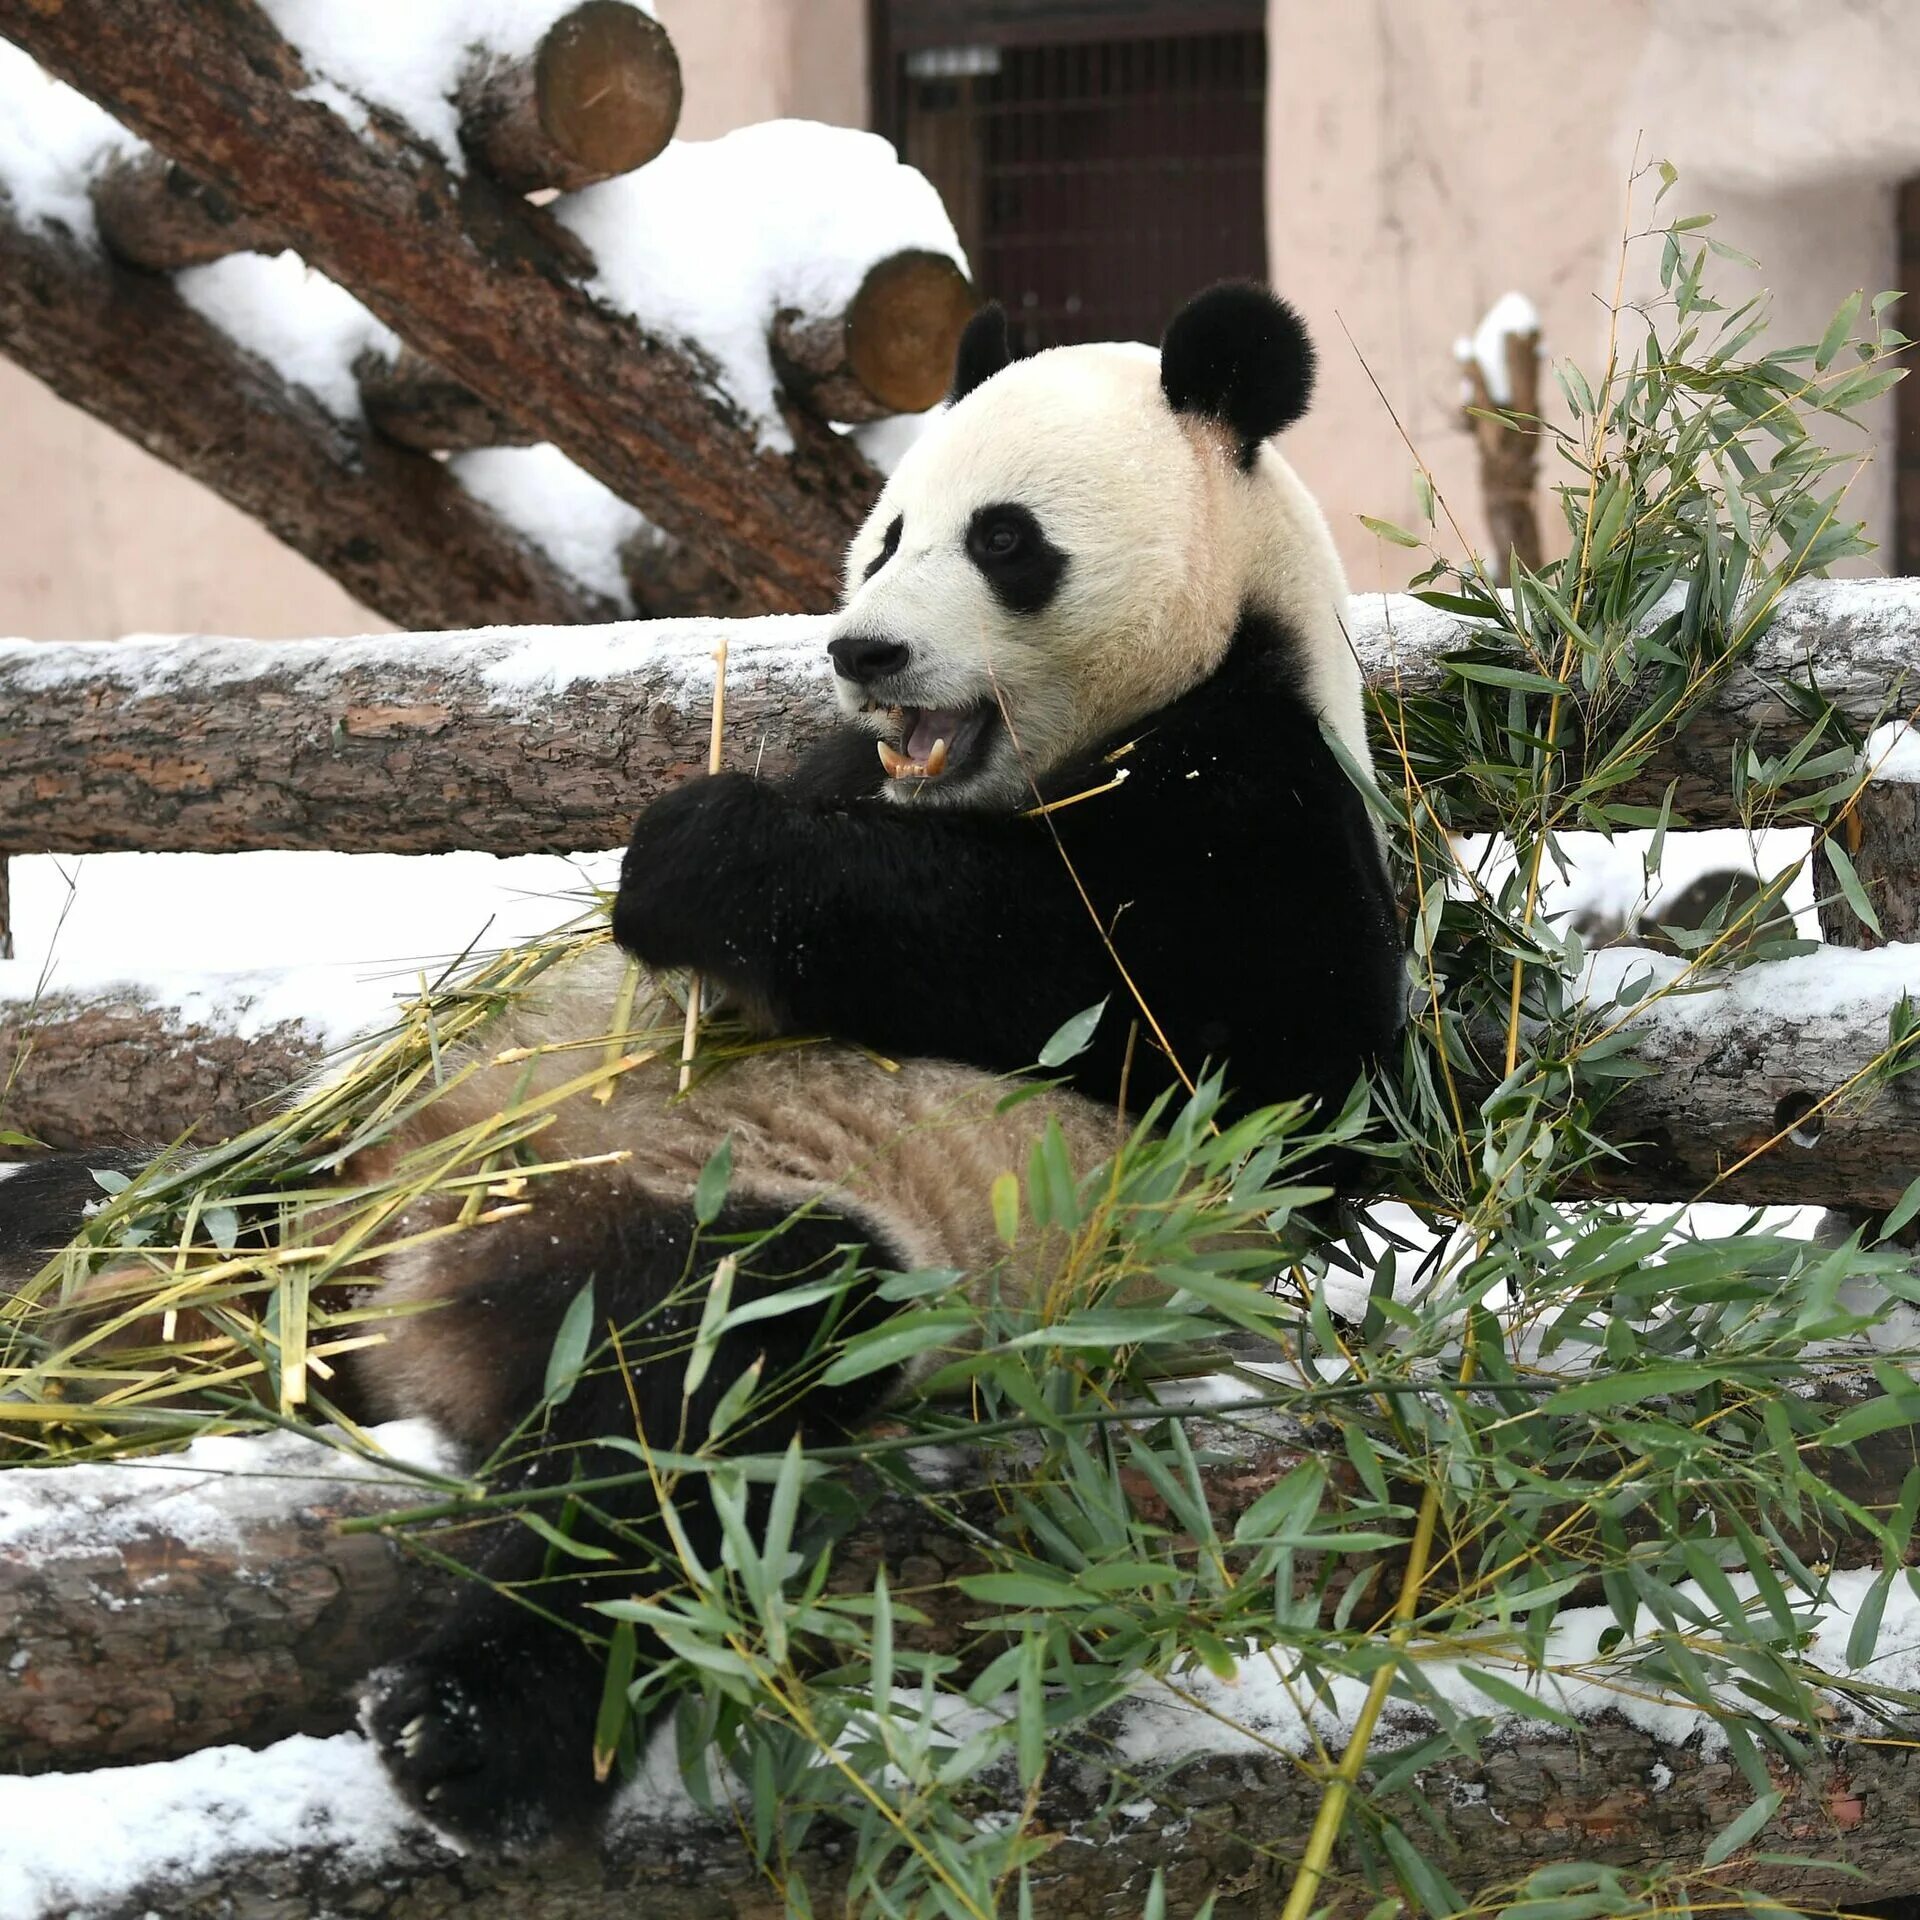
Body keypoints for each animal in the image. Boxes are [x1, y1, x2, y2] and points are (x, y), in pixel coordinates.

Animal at [7, 280, 1405, 1843]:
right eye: (886, 534)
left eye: (1004, 540)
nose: (863, 653)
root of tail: (389, 1314)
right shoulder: (862, 773)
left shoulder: (1267, 819)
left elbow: (1189, 1019)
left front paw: (696, 862)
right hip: (333, 1170)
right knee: (131, 1199)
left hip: (752, 1234)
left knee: (679, 1416)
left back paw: (468, 1729)